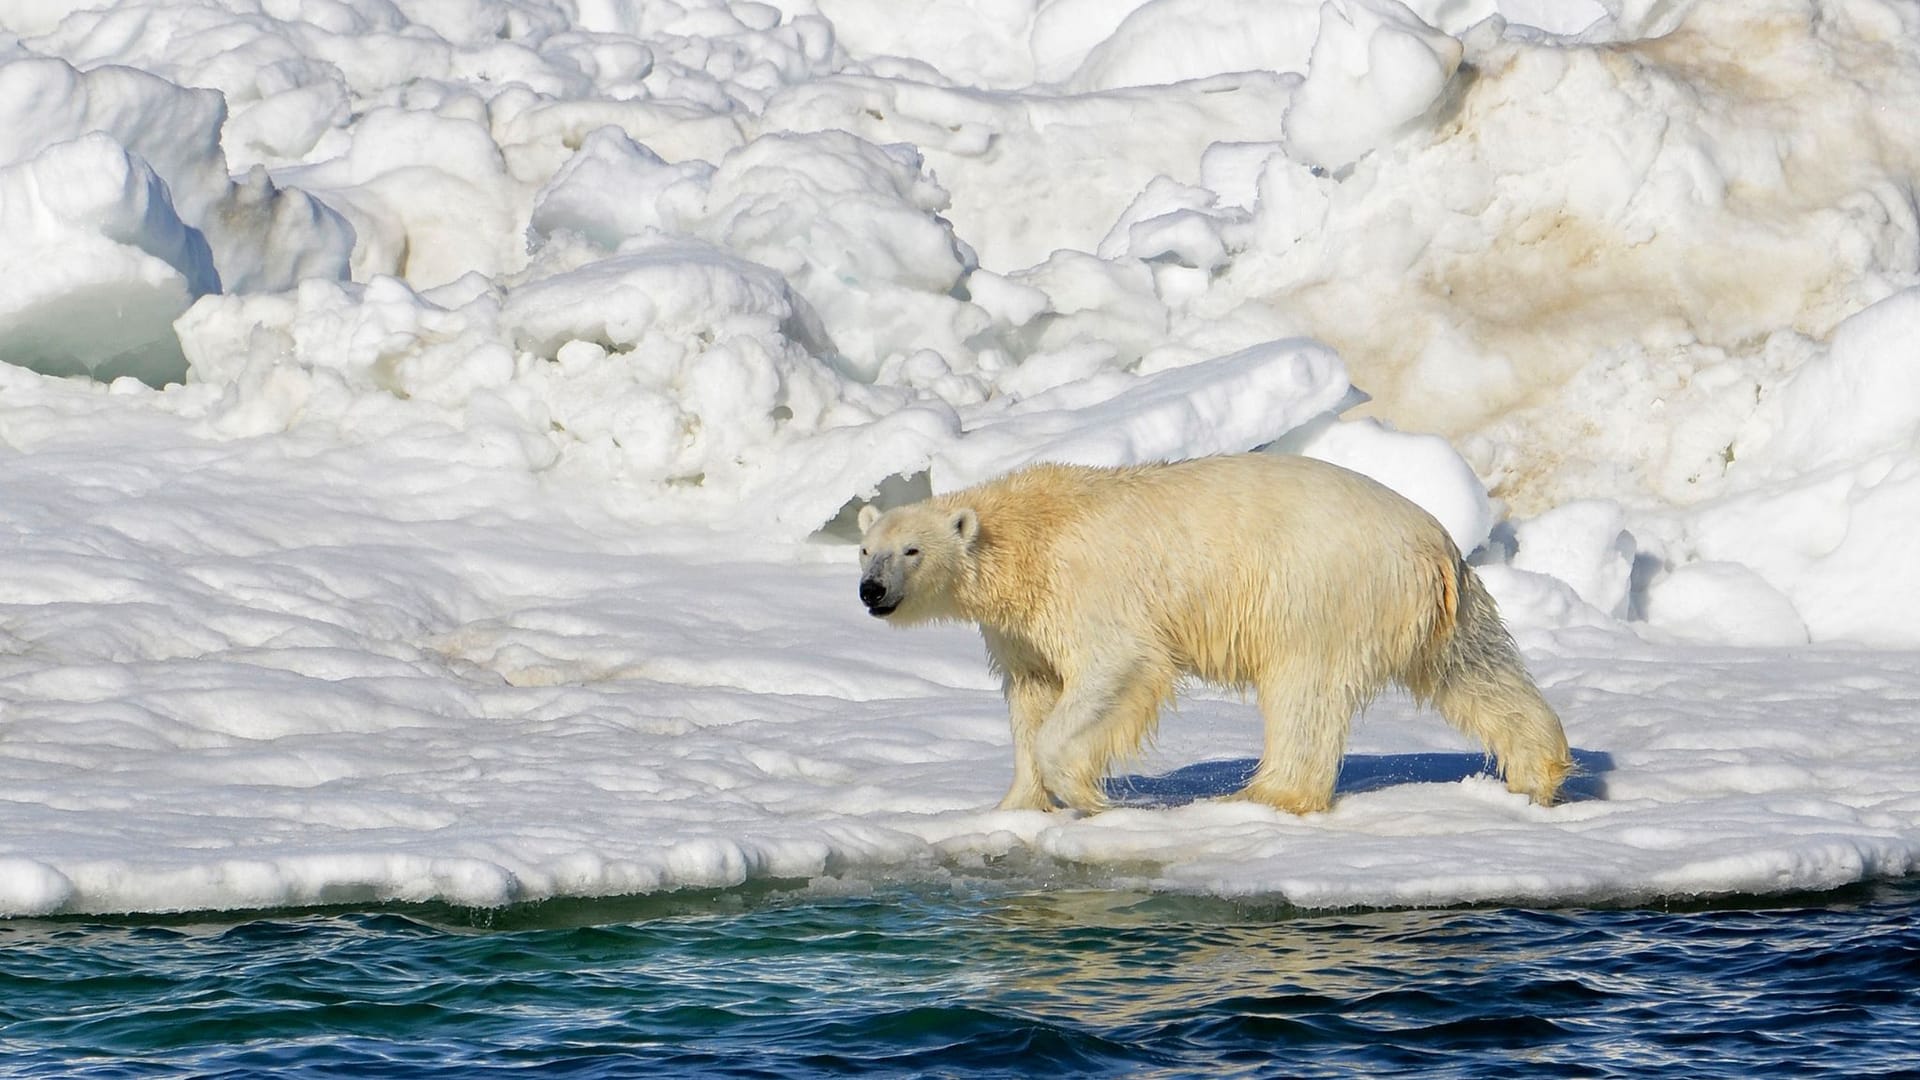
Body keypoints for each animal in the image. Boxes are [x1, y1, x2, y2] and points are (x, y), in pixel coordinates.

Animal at [860, 449, 1574, 810]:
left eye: (911, 550)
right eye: (867, 549)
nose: (872, 591)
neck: (1029, 534)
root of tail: (1434, 546)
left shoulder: (1088, 589)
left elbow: (1118, 667)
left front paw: (1086, 795)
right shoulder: (1022, 626)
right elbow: (1032, 693)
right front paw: (1014, 806)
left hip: (1321, 590)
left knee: (1304, 692)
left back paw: (1266, 795)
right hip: (1442, 607)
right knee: (1477, 672)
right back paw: (1538, 774)